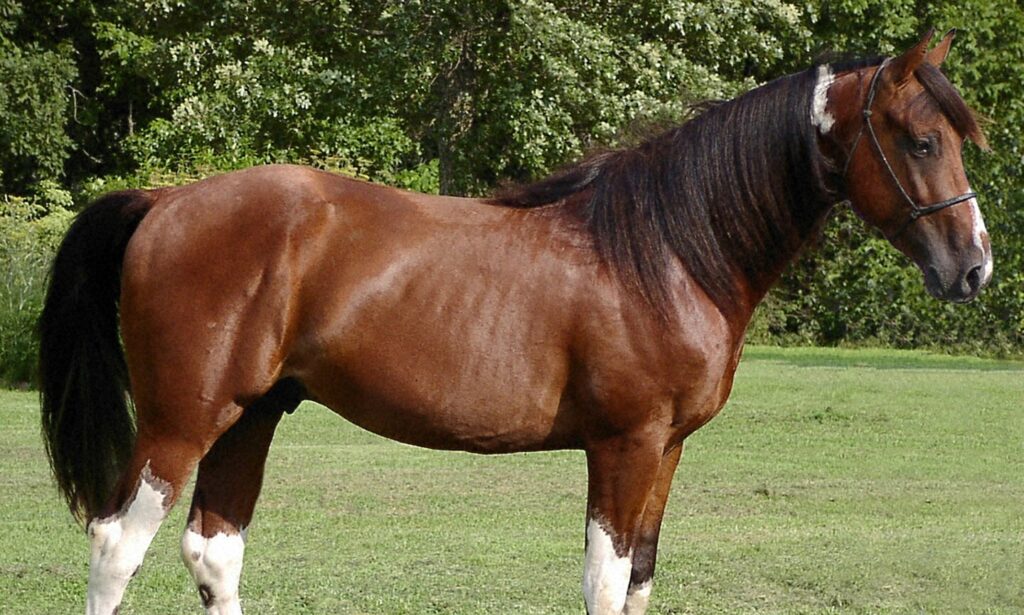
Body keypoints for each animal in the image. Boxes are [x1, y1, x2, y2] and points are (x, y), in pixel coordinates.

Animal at [39, 29, 990, 615]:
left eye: (955, 137)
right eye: (917, 139)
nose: (974, 266)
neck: (667, 248)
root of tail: (165, 201)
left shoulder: (668, 450)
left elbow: (639, 581)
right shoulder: (625, 444)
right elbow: (604, 583)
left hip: (253, 415)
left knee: (213, 550)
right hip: (181, 421)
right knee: (117, 545)